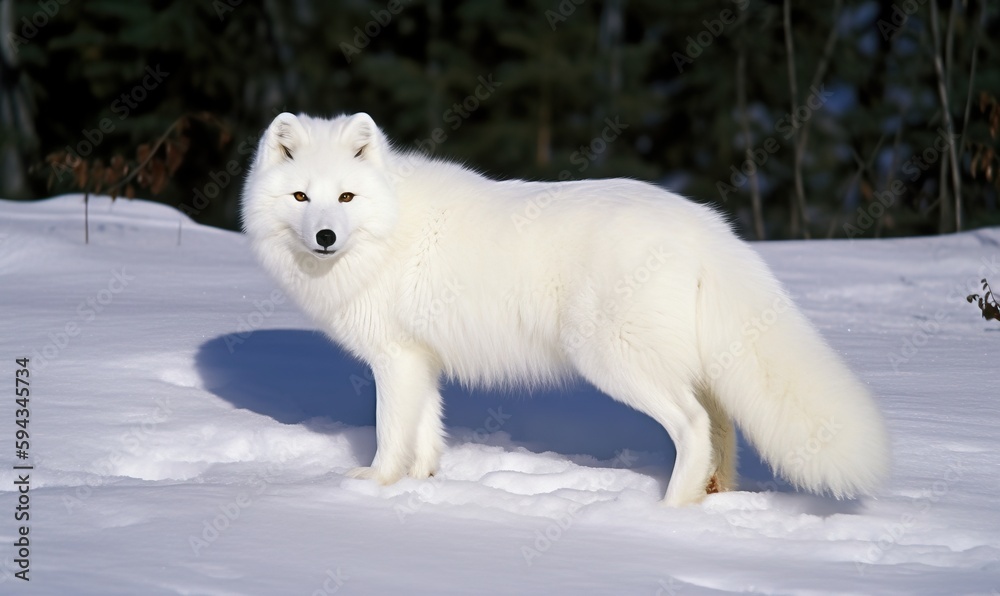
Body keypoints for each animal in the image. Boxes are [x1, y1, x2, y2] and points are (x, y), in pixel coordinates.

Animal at [242, 110, 892, 502]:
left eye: (347, 197)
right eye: (300, 197)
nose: (325, 237)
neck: (389, 230)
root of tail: (707, 225)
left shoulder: (395, 360)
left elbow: (389, 434)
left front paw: (372, 487)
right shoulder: (421, 361)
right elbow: (426, 437)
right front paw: (424, 488)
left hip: (617, 361)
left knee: (695, 426)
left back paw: (669, 509)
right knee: (722, 428)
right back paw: (712, 498)